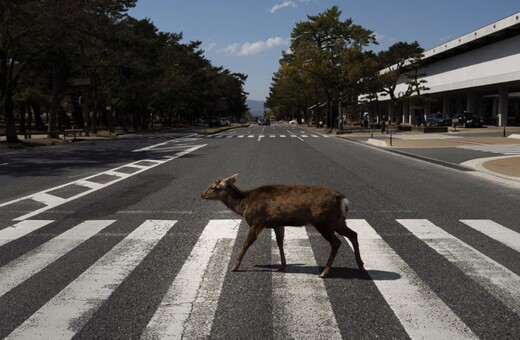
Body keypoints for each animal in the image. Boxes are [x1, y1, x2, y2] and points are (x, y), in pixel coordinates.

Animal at [201, 174, 364, 278]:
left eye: (213, 187)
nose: (202, 195)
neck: (243, 204)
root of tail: (343, 200)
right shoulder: (277, 224)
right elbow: (280, 243)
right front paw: (282, 265)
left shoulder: (257, 221)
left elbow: (246, 243)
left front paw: (235, 266)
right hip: (337, 221)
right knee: (353, 234)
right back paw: (361, 266)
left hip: (323, 221)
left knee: (337, 242)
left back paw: (324, 272)